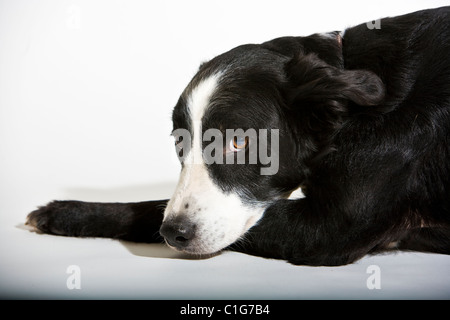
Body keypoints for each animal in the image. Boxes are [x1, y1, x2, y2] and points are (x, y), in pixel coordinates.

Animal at [27, 8, 450, 268]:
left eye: (238, 142)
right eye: (179, 142)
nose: (174, 233)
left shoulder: (327, 228)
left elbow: (152, 208)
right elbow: (149, 205)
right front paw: (67, 212)